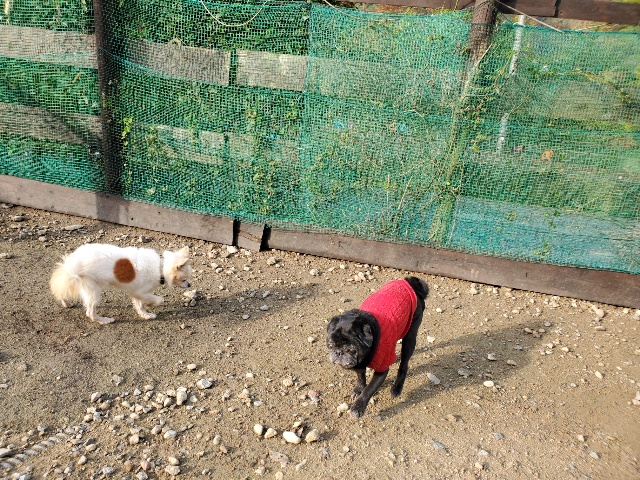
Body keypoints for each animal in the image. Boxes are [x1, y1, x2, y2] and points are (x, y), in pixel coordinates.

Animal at [50, 243, 192, 324]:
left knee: (62, 291)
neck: (160, 267)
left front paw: (145, 315)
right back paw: (105, 320)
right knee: (90, 313)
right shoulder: (139, 291)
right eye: (184, 279)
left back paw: (66, 303)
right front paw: (150, 305)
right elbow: (160, 299)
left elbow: (139, 305)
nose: (190, 285)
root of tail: (74, 263)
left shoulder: (136, 292)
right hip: (95, 291)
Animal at [327, 276, 428, 418]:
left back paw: (397, 387)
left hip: (410, 336)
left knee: (404, 363)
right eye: (330, 345)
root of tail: (408, 282)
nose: (338, 353)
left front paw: (358, 407)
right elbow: (361, 377)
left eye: (351, 350)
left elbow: (369, 390)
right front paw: (359, 388)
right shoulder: (359, 365)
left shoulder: (381, 371)